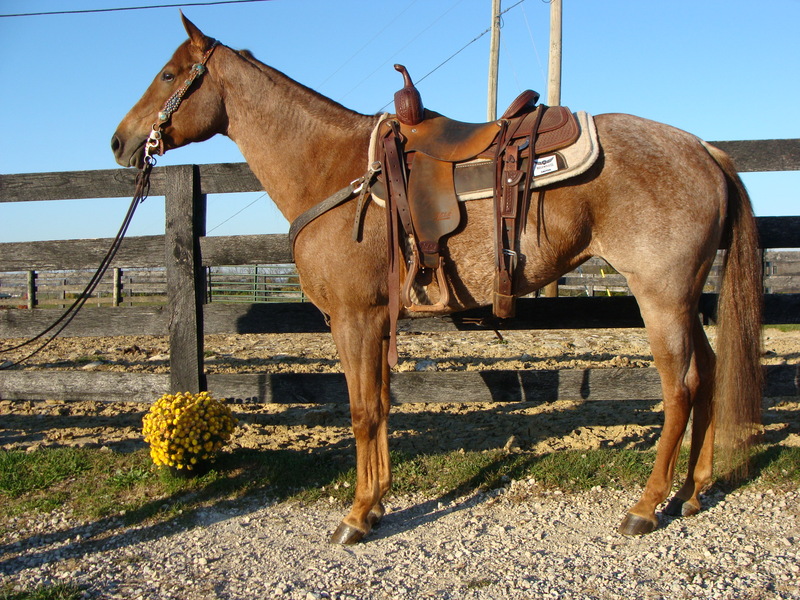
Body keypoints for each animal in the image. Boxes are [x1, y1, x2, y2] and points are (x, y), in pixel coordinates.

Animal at [112, 14, 763, 545]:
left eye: (169, 75)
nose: (120, 141)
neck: (334, 168)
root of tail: (703, 150)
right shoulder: (375, 320)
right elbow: (380, 404)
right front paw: (375, 505)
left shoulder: (355, 318)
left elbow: (362, 411)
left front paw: (356, 516)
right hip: (683, 299)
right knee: (708, 375)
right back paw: (693, 491)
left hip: (660, 297)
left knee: (681, 388)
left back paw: (645, 508)